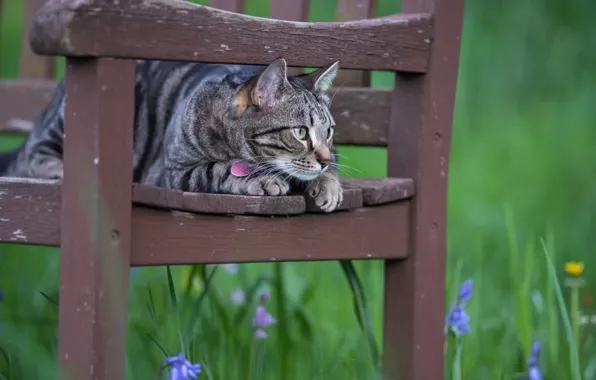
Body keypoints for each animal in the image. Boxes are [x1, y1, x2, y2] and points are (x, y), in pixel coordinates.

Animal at [0, 59, 344, 214]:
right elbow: (218, 169)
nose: (325, 160)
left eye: (328, 132)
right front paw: (262, 178)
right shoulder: (178, 172)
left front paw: (329, 184)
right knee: (34, 153)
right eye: (300, 132)